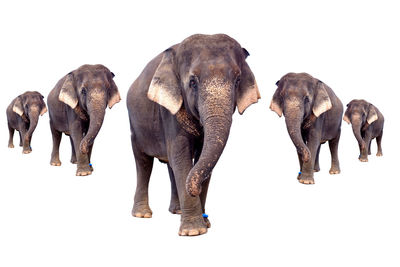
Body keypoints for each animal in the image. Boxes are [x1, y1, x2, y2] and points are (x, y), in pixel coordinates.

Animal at [126, 33, 260, 237]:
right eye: (192, 83)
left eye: (237, 81)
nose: (194, 190)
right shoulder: (169, 111)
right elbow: (181, 156)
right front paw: (194, 231)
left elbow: (197, 158)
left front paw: (205, 224)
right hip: (135, 126)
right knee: (144, 162)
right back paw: (142, 214)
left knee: (170, 164)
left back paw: (177, 211)